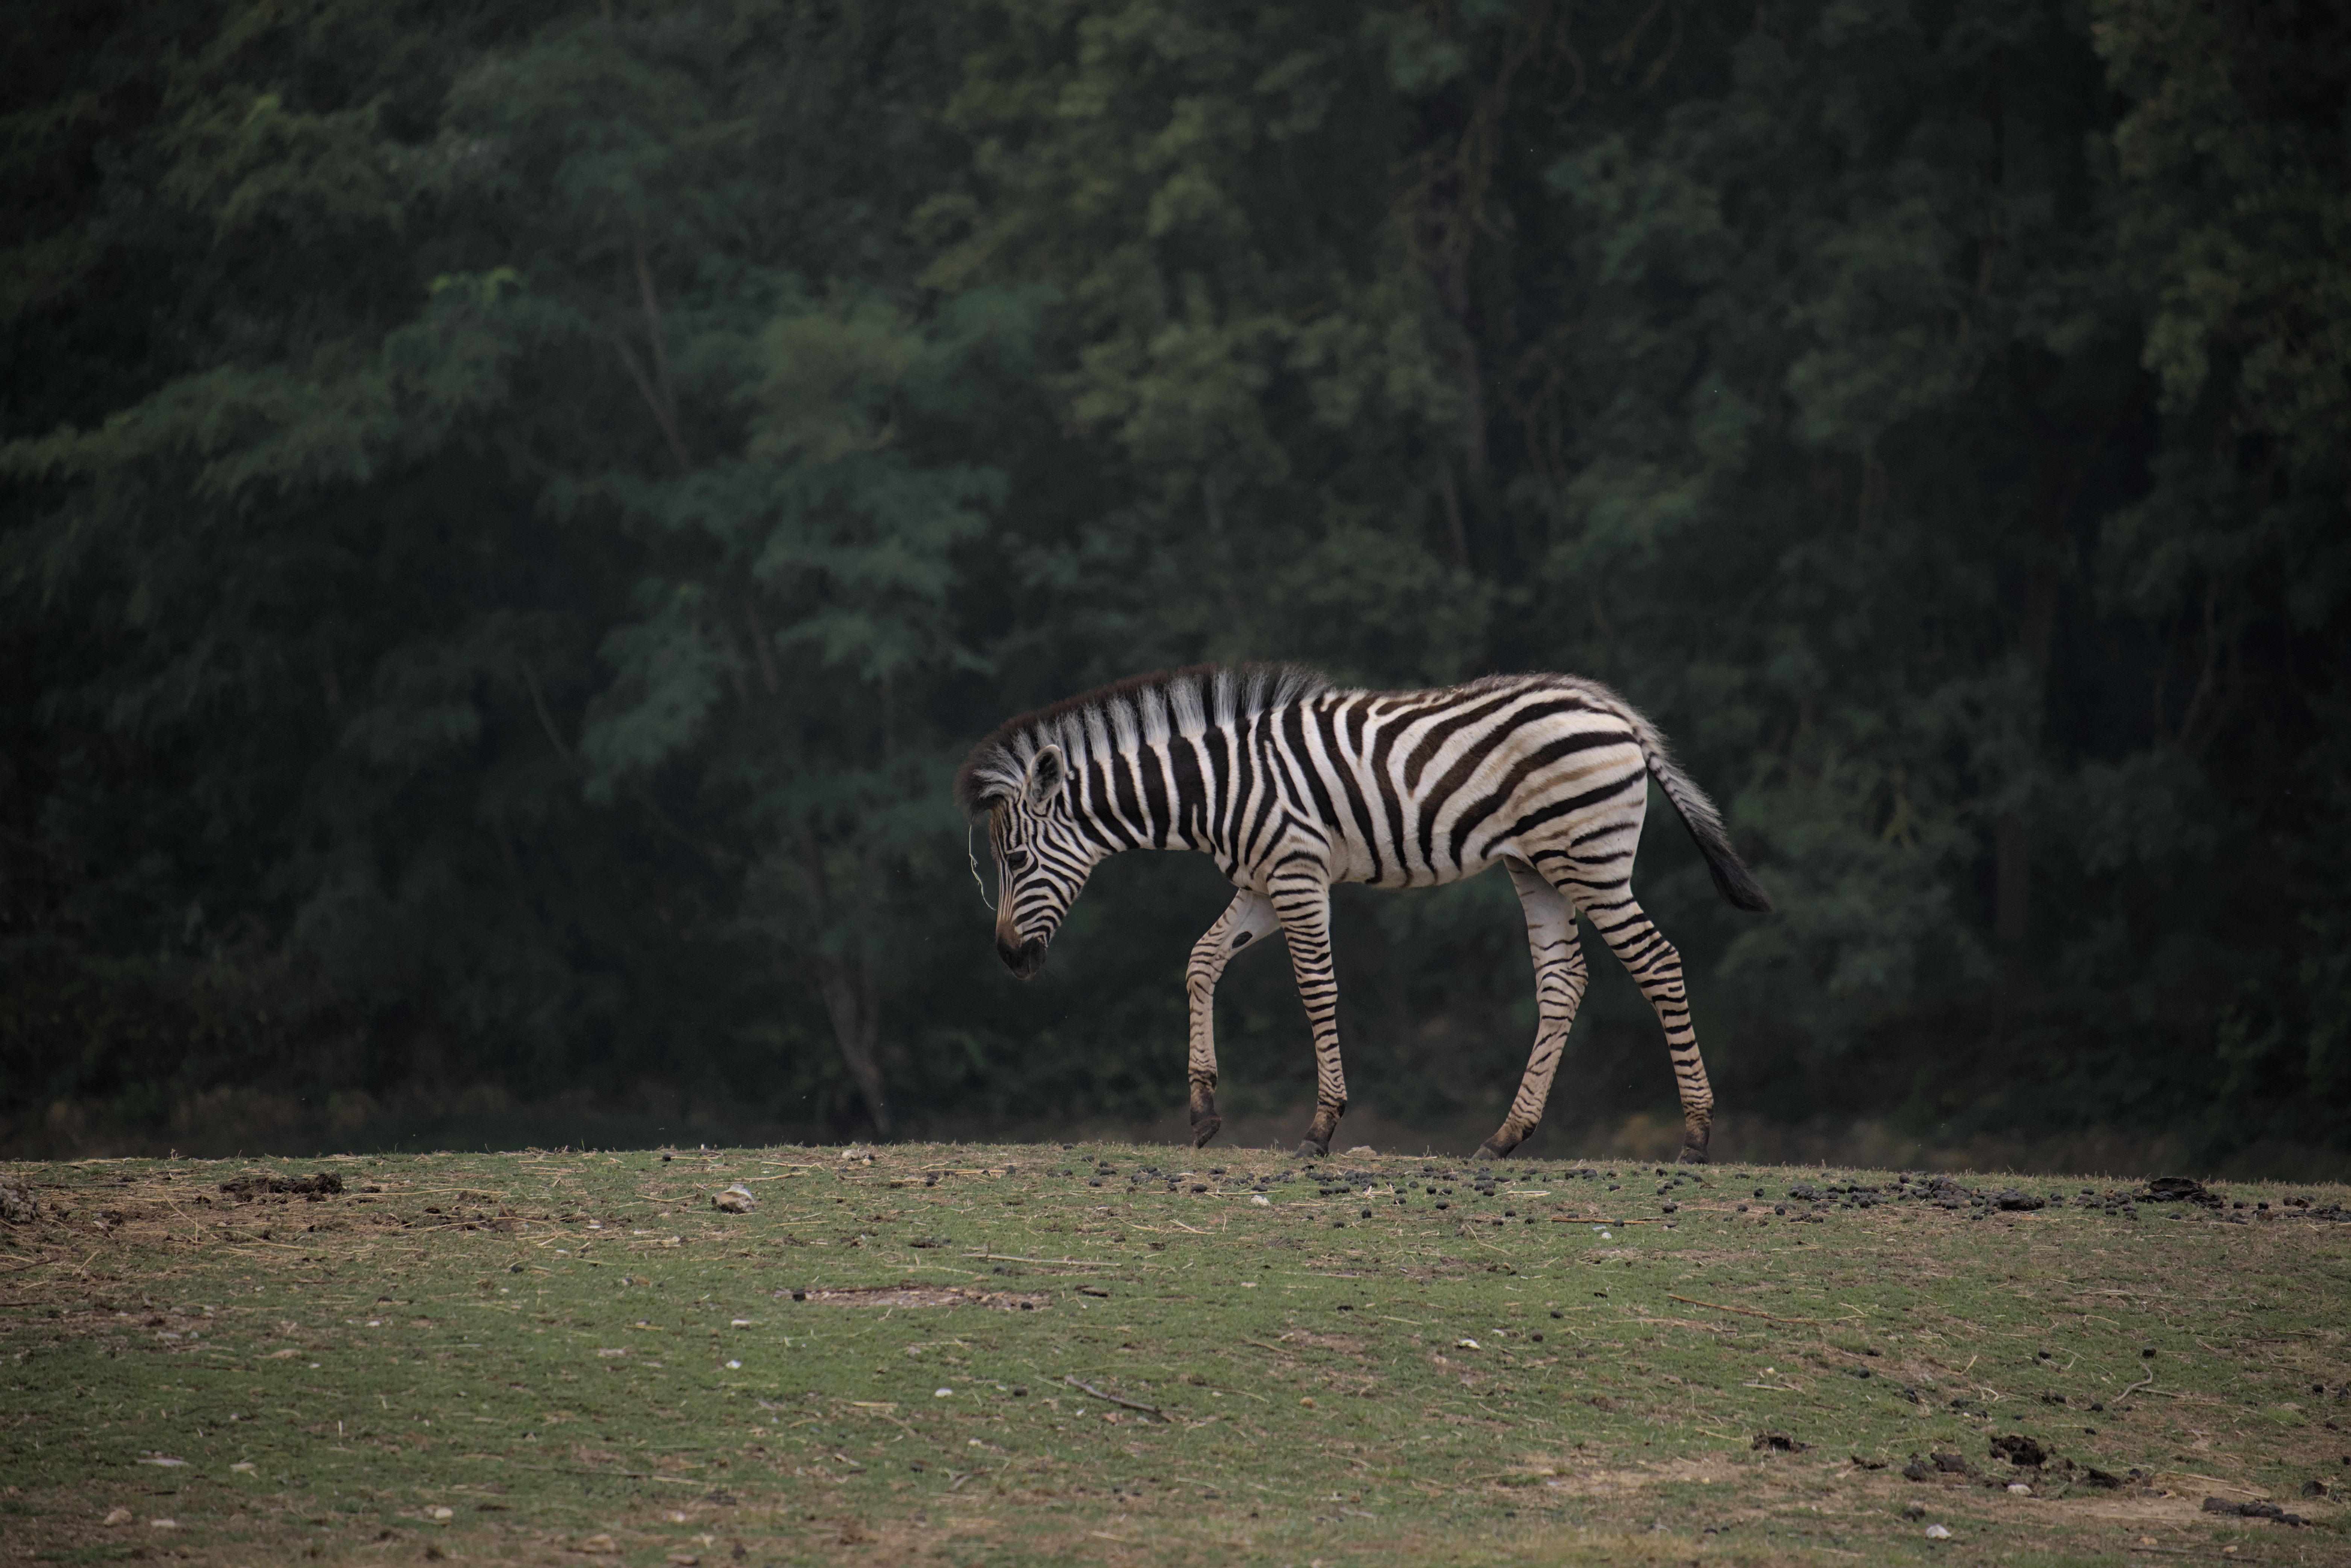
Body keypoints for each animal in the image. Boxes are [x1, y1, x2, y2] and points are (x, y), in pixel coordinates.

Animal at [954, 664, 1771, 1161]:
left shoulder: (1296, 872)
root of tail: (1613, 710)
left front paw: (1320, 1127)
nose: (1008, 958)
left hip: (1590, 858)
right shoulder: (1261, 883)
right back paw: (1507, 1136)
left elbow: (1315, 990)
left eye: (1016, 860)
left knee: (1658, 962)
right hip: (1537, 865)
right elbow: (1202, 960)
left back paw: (1696, 1137)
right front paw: (1205, 1109)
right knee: (1563, 981)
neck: (1213, 789)